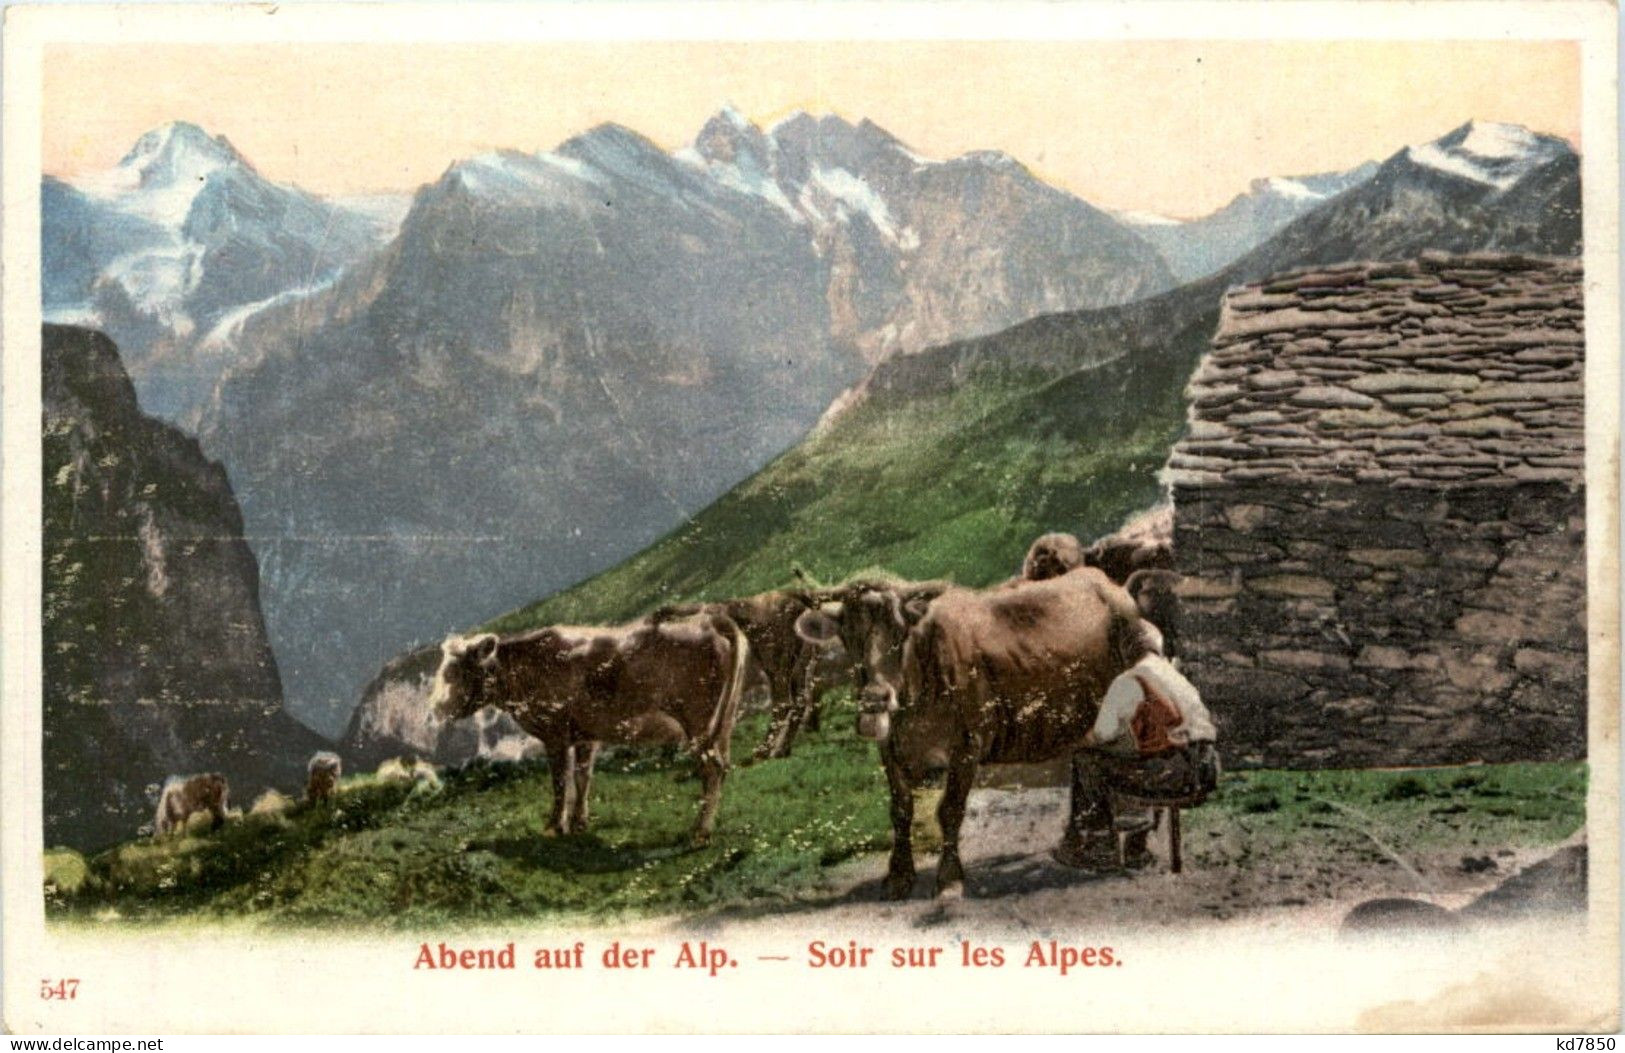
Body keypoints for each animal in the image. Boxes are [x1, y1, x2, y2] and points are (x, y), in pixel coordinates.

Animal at [435, 614, 757, 845]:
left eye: (458, 672)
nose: (436, 709)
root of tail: (711, 621)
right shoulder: (585, 735)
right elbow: (582, 777)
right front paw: (579, 823)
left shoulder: (555, 734)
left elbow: (560, 781)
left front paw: (554, 826)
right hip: (723, 724)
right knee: (721, 767)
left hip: (698, 722)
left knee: (712, 769)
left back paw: (700, 833)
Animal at [864, 568, 1144, 897]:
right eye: (849, 632)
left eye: (900, 635)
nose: (874, 698)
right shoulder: (889, 749)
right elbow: (901, 809)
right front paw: (898, 877)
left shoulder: (967, 745)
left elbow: (950, 810)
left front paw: (949, 880)